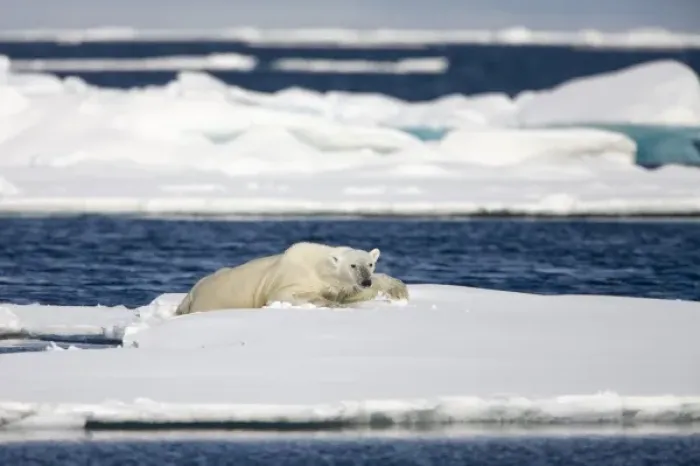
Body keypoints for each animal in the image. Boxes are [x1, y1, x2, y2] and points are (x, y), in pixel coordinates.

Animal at [174, 241, 409, 315]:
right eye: (353, 265)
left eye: (370, 264)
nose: (365, 281)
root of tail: (190, 295)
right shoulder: (290, 278)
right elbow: (288, 294)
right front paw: (332, 304)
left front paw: (398, 290)